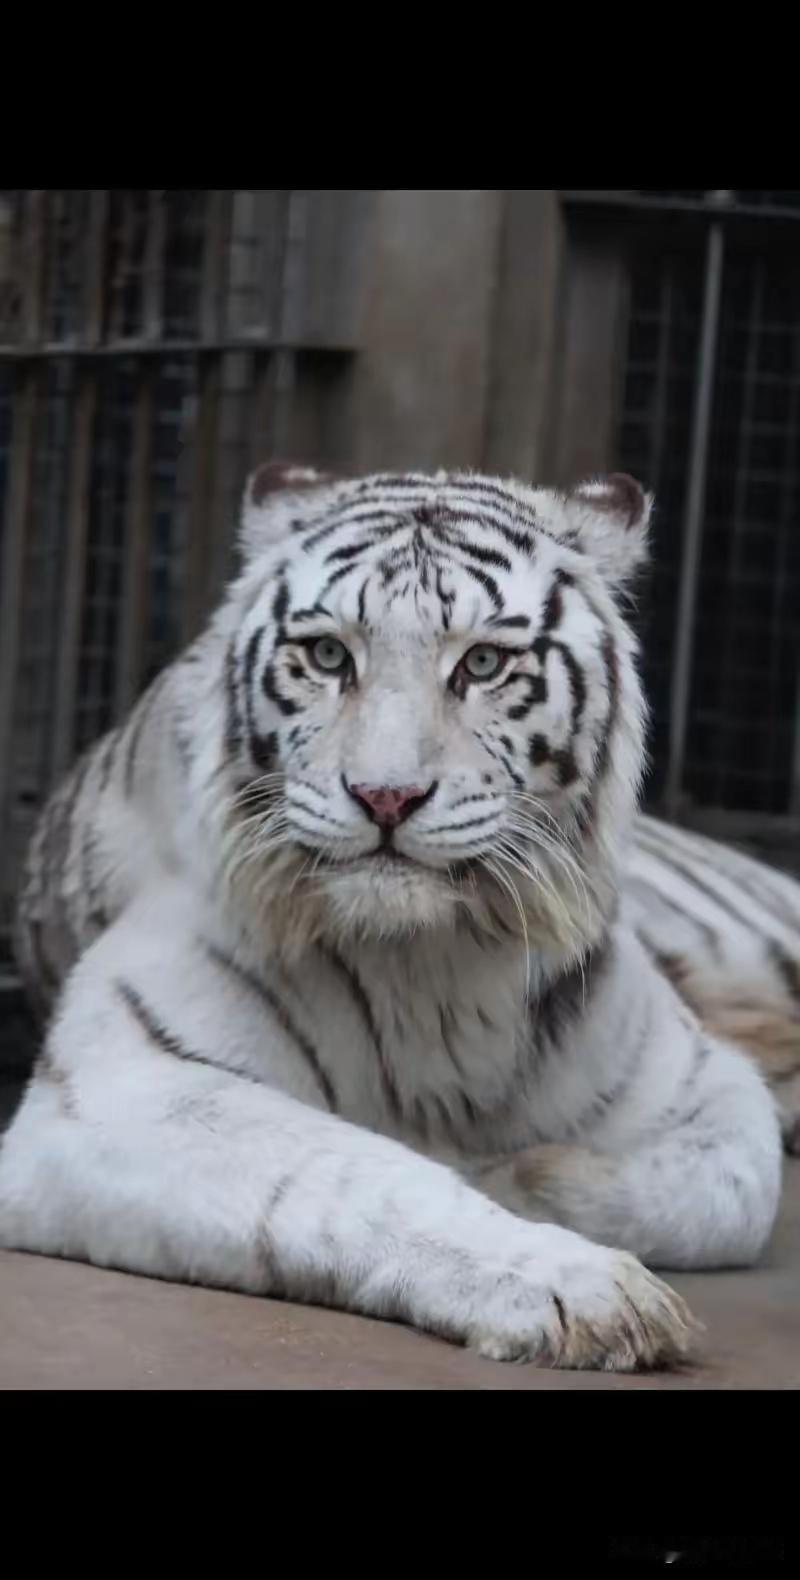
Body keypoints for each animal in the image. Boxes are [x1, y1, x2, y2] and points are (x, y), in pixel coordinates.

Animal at [0, 464, 787, 1372]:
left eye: (482, 662)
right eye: (328, 654)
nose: (385, 796)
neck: (433, 966)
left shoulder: (702, 1080)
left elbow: (730, 1191)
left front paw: (510, 1177)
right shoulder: (125, 1084)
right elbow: (351, 1171)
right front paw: (576, 1285)